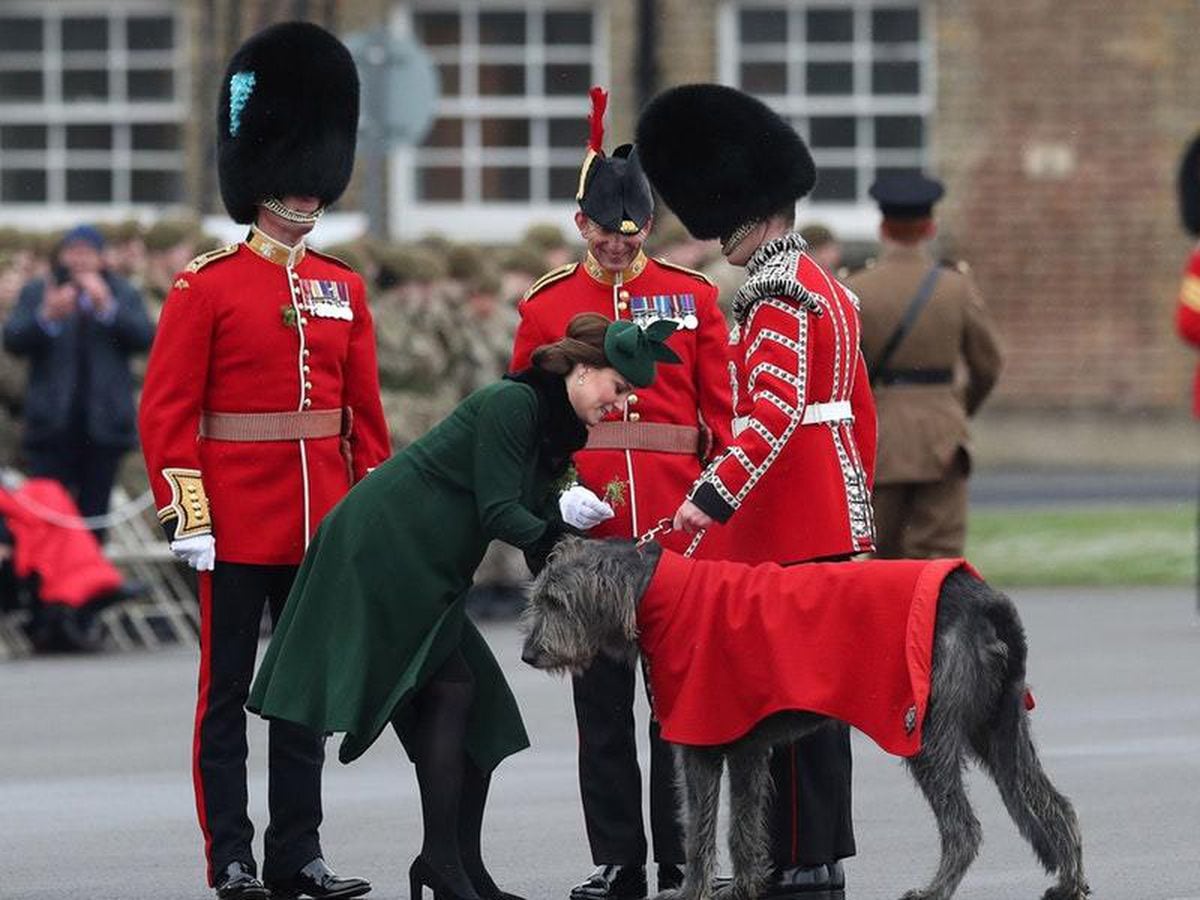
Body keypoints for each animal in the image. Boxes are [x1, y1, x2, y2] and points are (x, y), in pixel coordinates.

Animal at [523, 535, 1089, 900]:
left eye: (558, 601)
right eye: (538, 598)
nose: (528, 654)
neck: (660, 593)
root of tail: (988, 601)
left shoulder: (699, 744)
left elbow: (699, 829)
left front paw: (691, 891)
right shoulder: (747, 746)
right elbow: (743, 824)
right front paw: (745, 886)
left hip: (926, 733)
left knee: (963, 827)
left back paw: (933, 891)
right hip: (997, 728)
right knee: (1054, 802)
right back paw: (1068, 880)